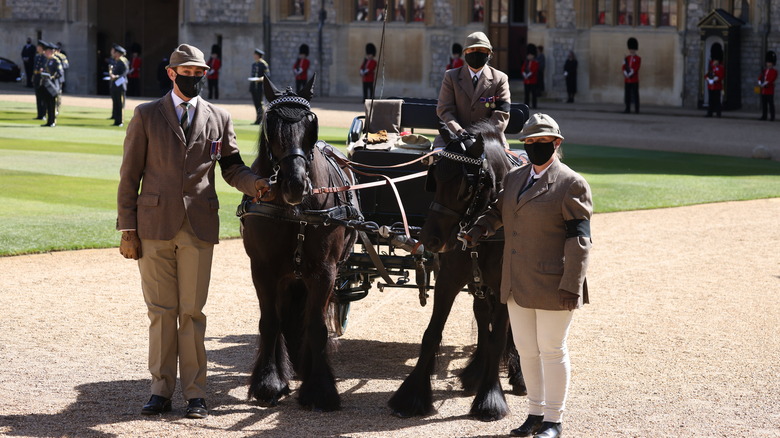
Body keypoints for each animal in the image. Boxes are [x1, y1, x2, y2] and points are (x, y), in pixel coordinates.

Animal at [241, 74, 360, 410]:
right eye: (271, 123)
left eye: (311, 123)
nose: (294, 184)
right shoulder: (264, 270)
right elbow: (270, 321)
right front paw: (269, 382)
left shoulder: (324, 271)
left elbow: (317, 326)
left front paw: (320, 389)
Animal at [388, 120, 524, 420]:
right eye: (434, 178)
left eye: (465, 185)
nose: (430, 239)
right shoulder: (449, 280)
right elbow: (432, 334)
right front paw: (411, 396)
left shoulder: (502, 286)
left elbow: (499, 338)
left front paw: (490, 398)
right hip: (477, 286)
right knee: (482, 316)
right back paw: (475, 373)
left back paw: (517, 375)